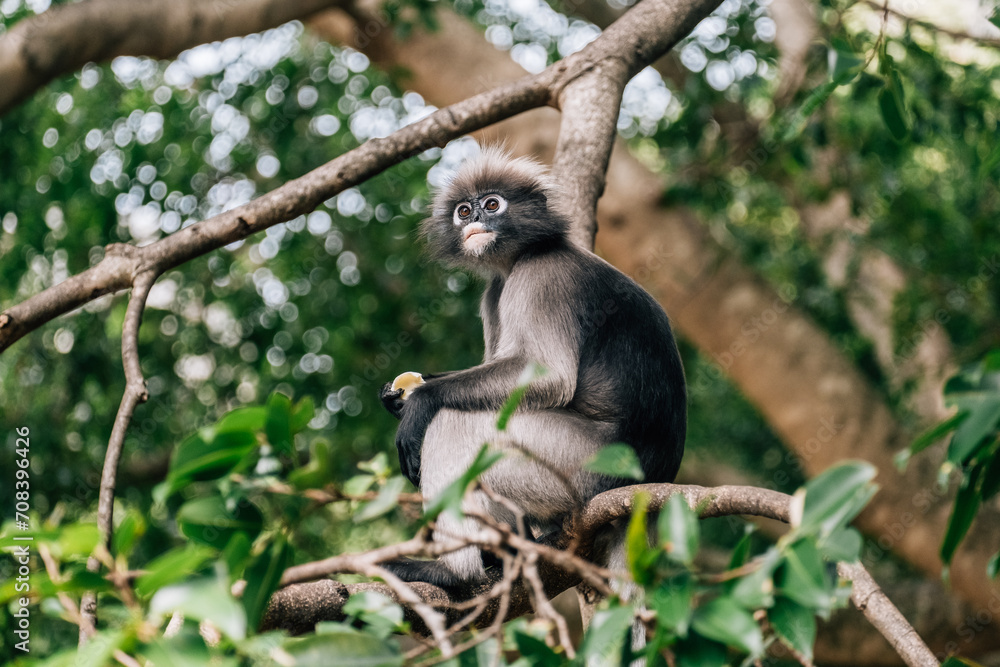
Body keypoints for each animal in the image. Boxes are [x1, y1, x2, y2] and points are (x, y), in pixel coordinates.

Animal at [379, 146, 686, 588]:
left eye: (492, 205)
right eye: (463, 210)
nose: (475, 219)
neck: (516, 258)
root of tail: (645, 485)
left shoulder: (542, 275)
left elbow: (550, 378)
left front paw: (419, 403)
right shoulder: (494, 291)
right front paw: (399, 397)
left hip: (577, 466)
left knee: (453, 422)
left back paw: (454, 572)